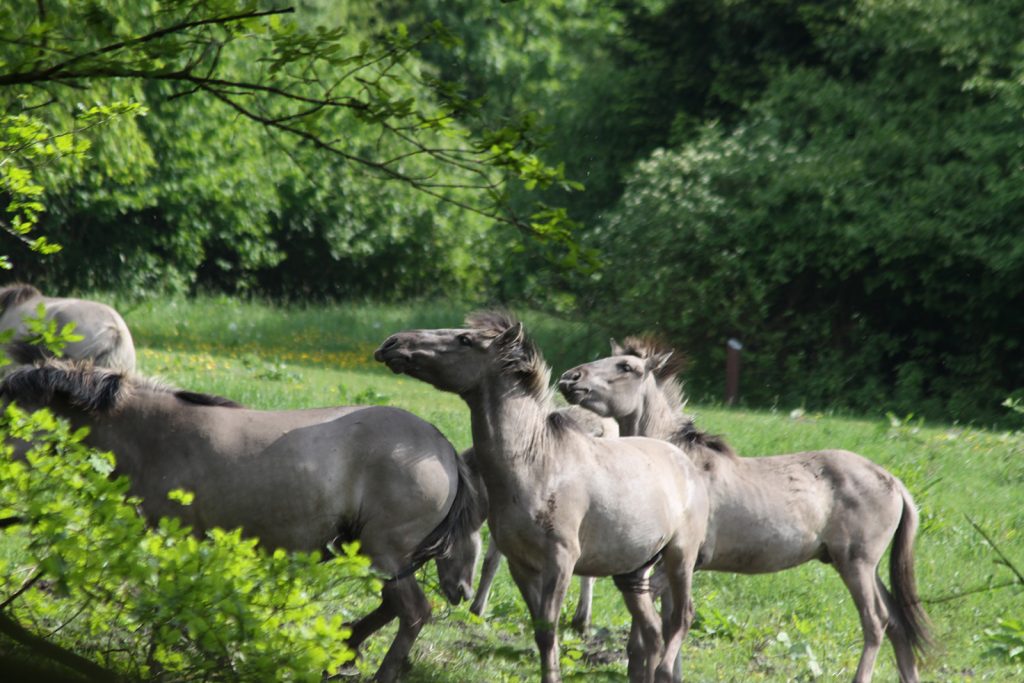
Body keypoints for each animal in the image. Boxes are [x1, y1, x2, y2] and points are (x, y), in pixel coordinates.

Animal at [1, 360, 483, 679]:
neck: (152, 434)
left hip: (385, 552)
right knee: (392, 608)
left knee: (414, 613)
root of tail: (441, 447)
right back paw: (345, 648)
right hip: (367, 550)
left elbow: (167, 607)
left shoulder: (174, 536)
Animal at [378, 311, 712, 683]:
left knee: (681, 617)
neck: (538, 464)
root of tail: (687, 463)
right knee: (652, 631)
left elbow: (549, 631)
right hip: (634, 571)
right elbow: (539, 630)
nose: (392, 343)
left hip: (680, 558)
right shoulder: (522, 565)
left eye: (465, 339)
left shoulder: (561, 561)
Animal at [557, 335, 933, 683]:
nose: (569, 378)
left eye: (626, 366)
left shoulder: (676, 563)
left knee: (876, 622)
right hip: (865, 567)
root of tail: (895, 483)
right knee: (897, 623)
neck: (677, 467)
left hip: (856, 564)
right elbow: (662, 628)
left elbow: (656, 631)